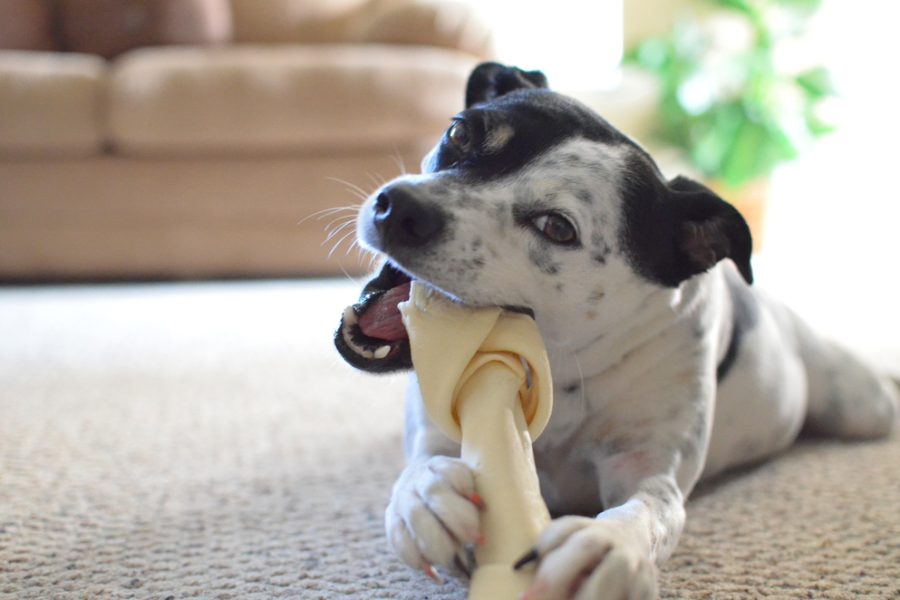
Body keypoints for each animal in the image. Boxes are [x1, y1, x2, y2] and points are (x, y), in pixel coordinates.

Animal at [332, 62, 900, 600]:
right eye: (461, 133)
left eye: (557, 227)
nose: (399, 207)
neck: (562, 368)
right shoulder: (441, 426)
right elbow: (424, 463)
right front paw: (426, 496)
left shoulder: (648, 468)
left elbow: (648, 510)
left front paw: (604, 545)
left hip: (861, 407)